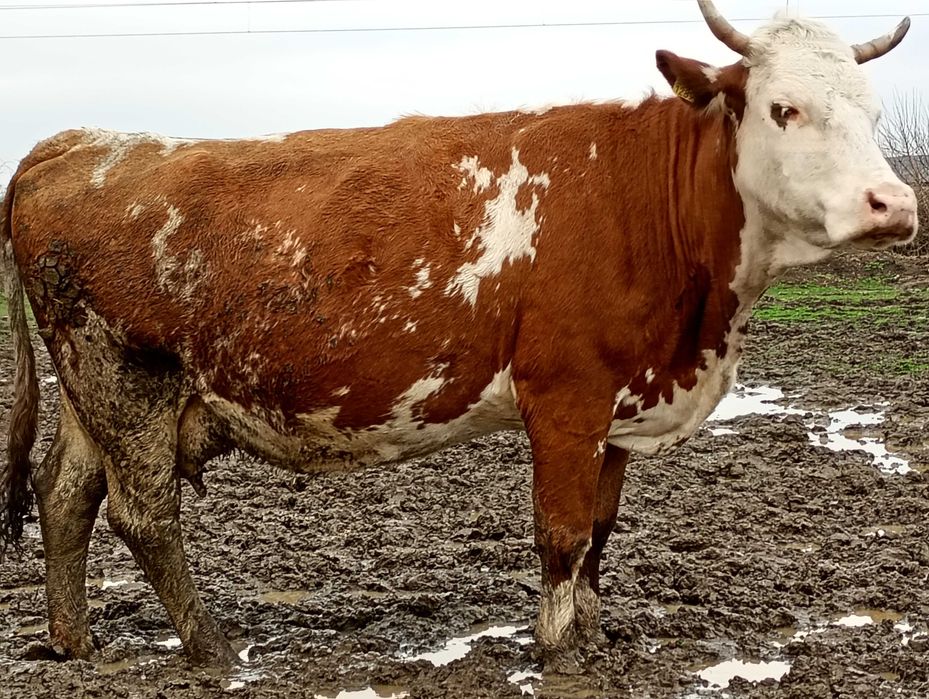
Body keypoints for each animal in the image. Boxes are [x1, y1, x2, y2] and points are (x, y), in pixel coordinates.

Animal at [0, 0, 917, 674]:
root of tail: (77, 142)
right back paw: (212, 644)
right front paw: (557, 648)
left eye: (873, 111)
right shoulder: (565, 397)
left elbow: (601, 531)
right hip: (127, 381)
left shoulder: (619, 401)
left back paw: (75, 638)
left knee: (65, 490)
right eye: (782, 108)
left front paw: (594, 630)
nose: (895, 203)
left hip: (92, 392)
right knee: (144, 513)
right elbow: (561, 532)